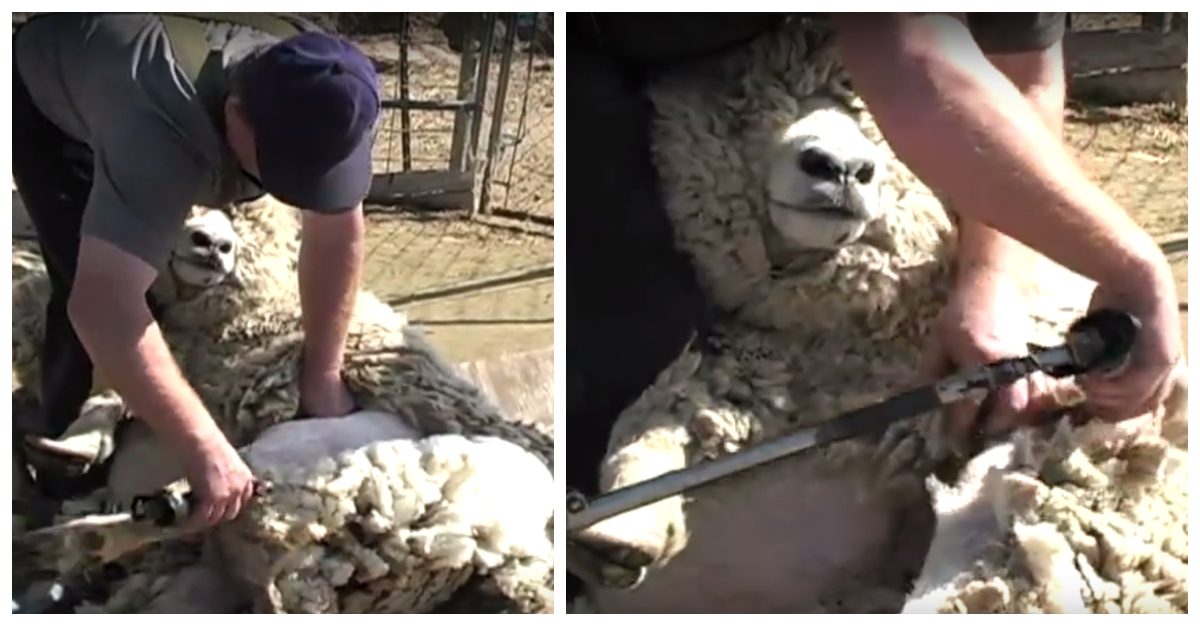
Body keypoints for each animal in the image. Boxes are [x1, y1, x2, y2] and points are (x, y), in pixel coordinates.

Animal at [11, 195, 555, 613]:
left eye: (239, 218)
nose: (213, 246)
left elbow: (117, 390)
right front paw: (78, 442)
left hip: (284, 467)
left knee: (184, 512)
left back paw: (49, 545)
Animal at [570, 17, 1186, 614]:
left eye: (873, 116)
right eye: (743, 97)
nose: (842, 168)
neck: (858, 336)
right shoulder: (755, 366)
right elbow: (665, 407)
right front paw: (620, 524)